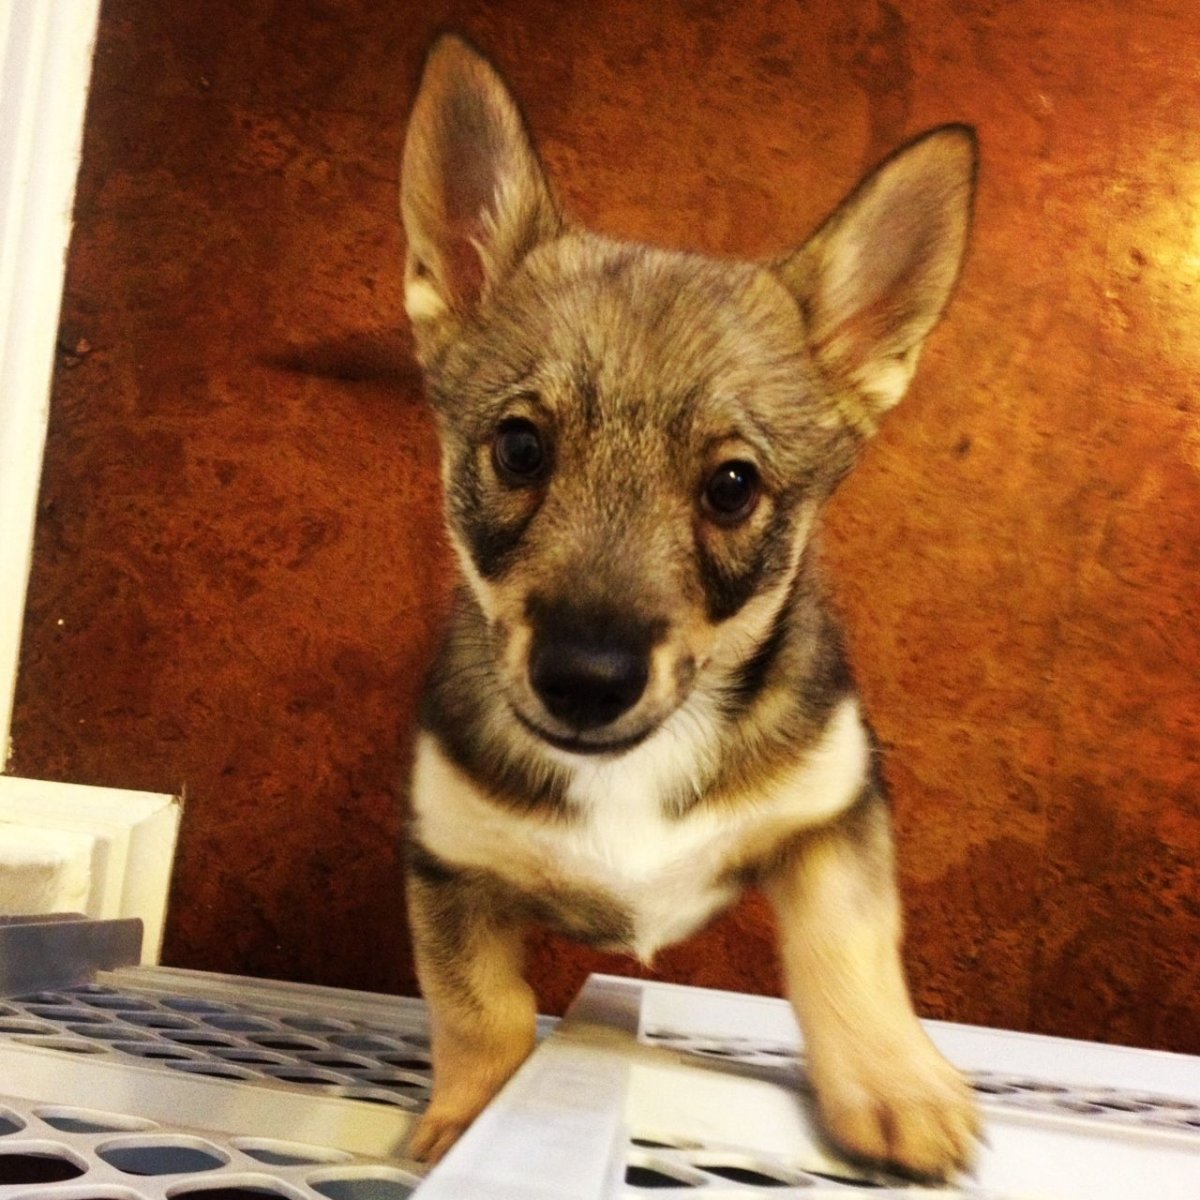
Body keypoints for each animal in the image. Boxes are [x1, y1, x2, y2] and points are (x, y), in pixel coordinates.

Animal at [398, 33, 979, 1180]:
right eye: (519, 448)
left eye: (732, 487)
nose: (584, 681)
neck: (630, 769)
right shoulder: (449, 870)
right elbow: (481, 1014)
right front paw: (468, 1125)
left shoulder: (835, 813)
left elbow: (850, 948)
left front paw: (897, 1091)